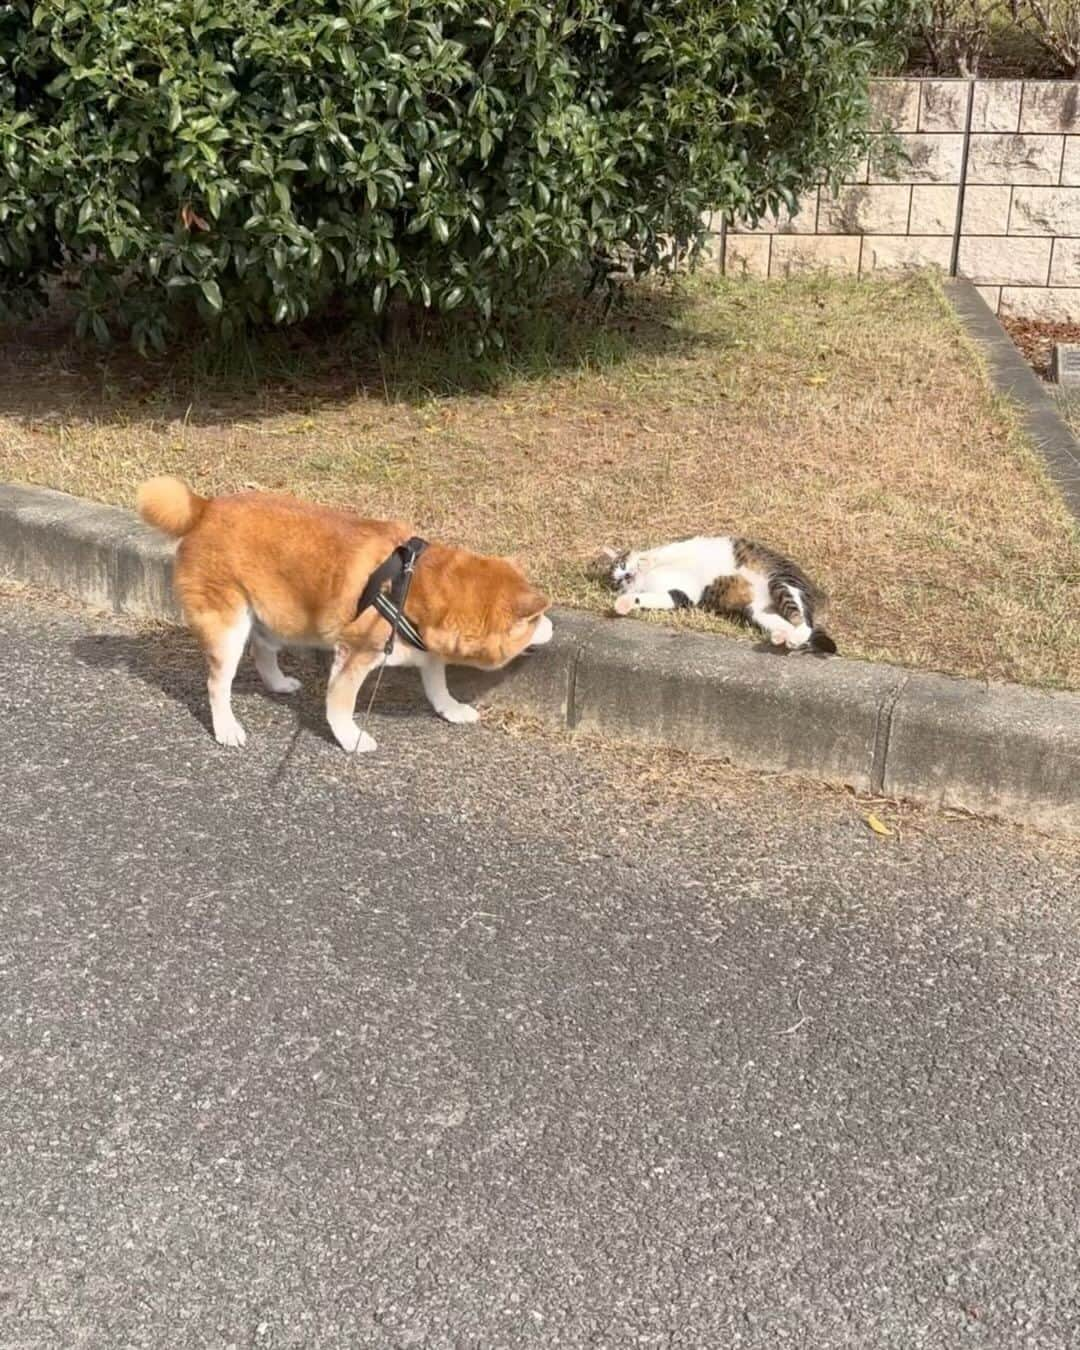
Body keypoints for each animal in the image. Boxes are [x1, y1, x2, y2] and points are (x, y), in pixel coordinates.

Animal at [591, 531, 837, 653]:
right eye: (617, 582)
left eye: (622, 565)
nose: (626, 576)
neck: (648, 577)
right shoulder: (680, 594)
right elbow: (645, 597)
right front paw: (623, 604)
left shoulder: (681, 547)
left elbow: (660, 553)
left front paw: (645, 560)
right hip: (760, 612)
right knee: (797, 626)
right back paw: (782, 637)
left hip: (780, 583)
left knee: (804, 623)